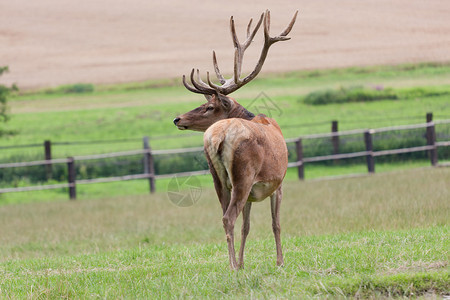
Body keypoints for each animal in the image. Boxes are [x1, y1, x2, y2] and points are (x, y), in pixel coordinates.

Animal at [174, 10, 298, 270]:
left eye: (209, 107)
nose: (177, 118)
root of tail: (217, 137)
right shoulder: (278, 182)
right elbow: (276, 224)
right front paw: (280, 261)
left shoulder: (253, 190)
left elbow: (247, 226)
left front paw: (242, 262)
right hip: (244, 174)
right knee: (229, 217)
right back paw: (231, 266)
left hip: (219, 179)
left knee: (224, 216)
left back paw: (232, 264)